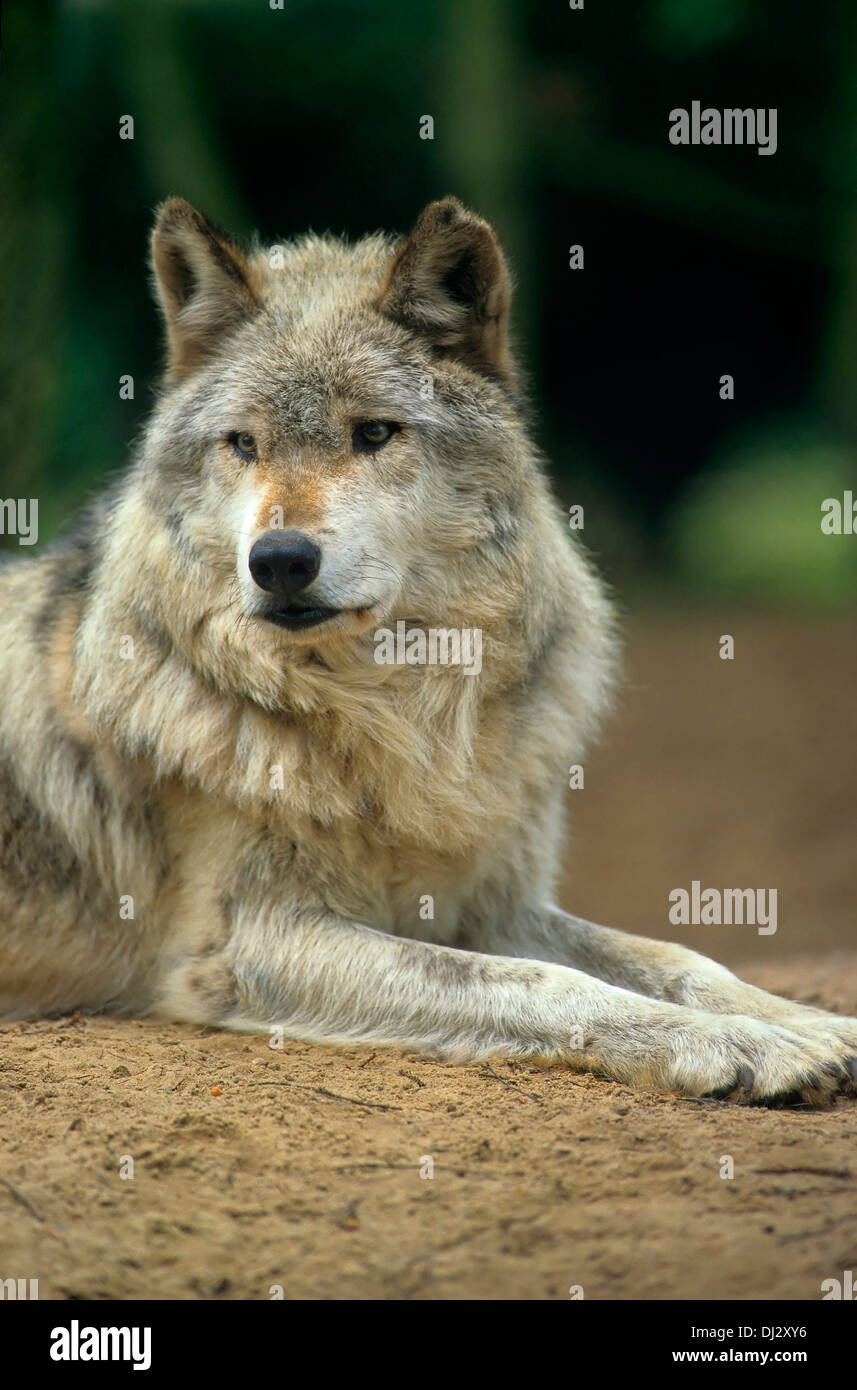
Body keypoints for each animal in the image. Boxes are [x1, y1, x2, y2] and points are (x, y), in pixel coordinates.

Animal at [1, 198, 855, 1106]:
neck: (395, 712)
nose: (278, 561)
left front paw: (806, 1024)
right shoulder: (252, 942)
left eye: (375, 433)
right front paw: (735, 1045)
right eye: (244, 445)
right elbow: (547, 983)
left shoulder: (494, 905)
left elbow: (680, 956)